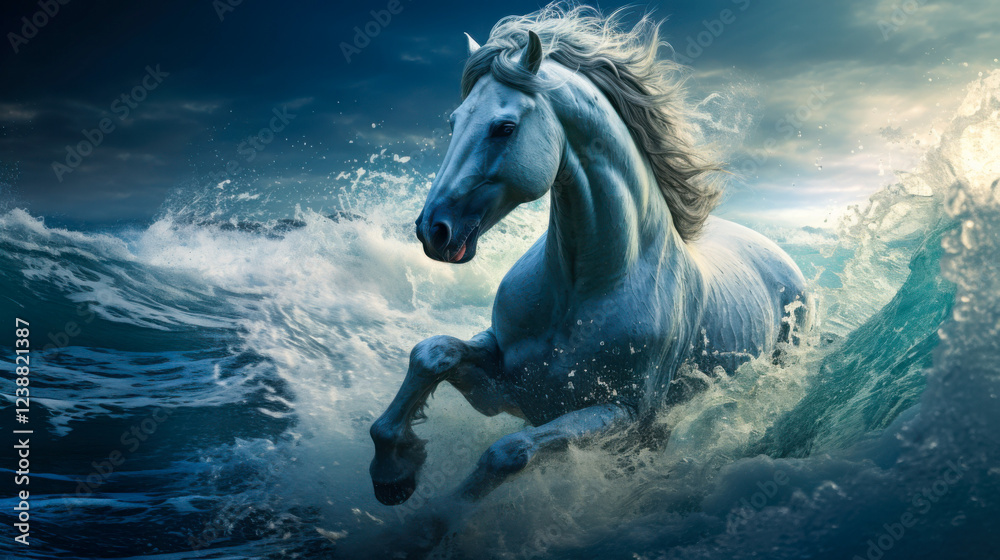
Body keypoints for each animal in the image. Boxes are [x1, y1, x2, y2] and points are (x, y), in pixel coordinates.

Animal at [369, 5, 809, 507]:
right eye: (453, 122)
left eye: (504, 127)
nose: (433, 229)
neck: (583, 289)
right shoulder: (505, 390)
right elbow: (431, 353)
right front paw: (393, 472)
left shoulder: (622, 415)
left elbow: (508, 452)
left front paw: (438, 517)